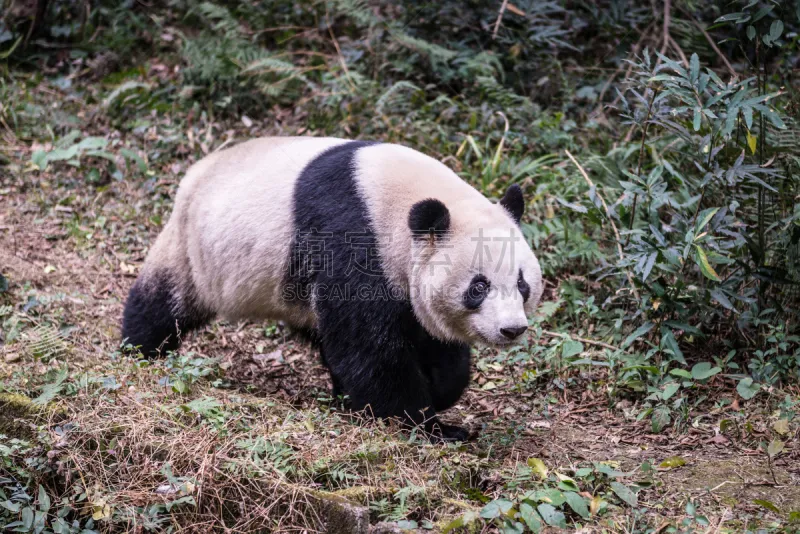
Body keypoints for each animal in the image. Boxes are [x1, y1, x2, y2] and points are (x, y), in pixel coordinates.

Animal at [122, 138, 544, 444]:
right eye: (478, 286)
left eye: (522, 283)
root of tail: (193, 172)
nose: (511, 329)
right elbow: (369, 348)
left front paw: (441, 391)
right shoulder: (352, 238)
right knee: (164, 302)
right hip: (195, 248)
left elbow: (427, 337)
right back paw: (138, 349)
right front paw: (429, 425)